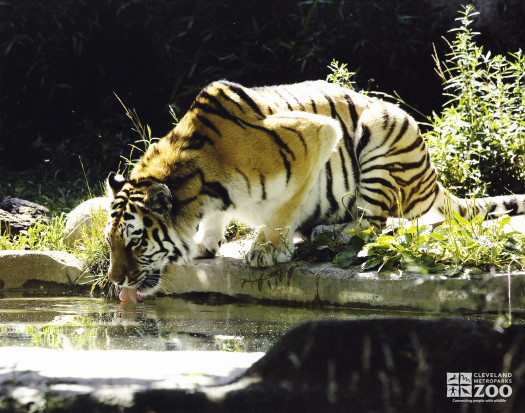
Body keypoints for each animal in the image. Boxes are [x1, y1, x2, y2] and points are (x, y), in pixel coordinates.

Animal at [105, 79, 524, 294]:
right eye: (110, 242)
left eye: (136, 242)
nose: (114, 281)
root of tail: (432, 176)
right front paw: (208, 242)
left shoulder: (315, 134)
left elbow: (286, 205)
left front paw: (268, 249)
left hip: (382, 127)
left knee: (374, 226)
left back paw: (324, 233)